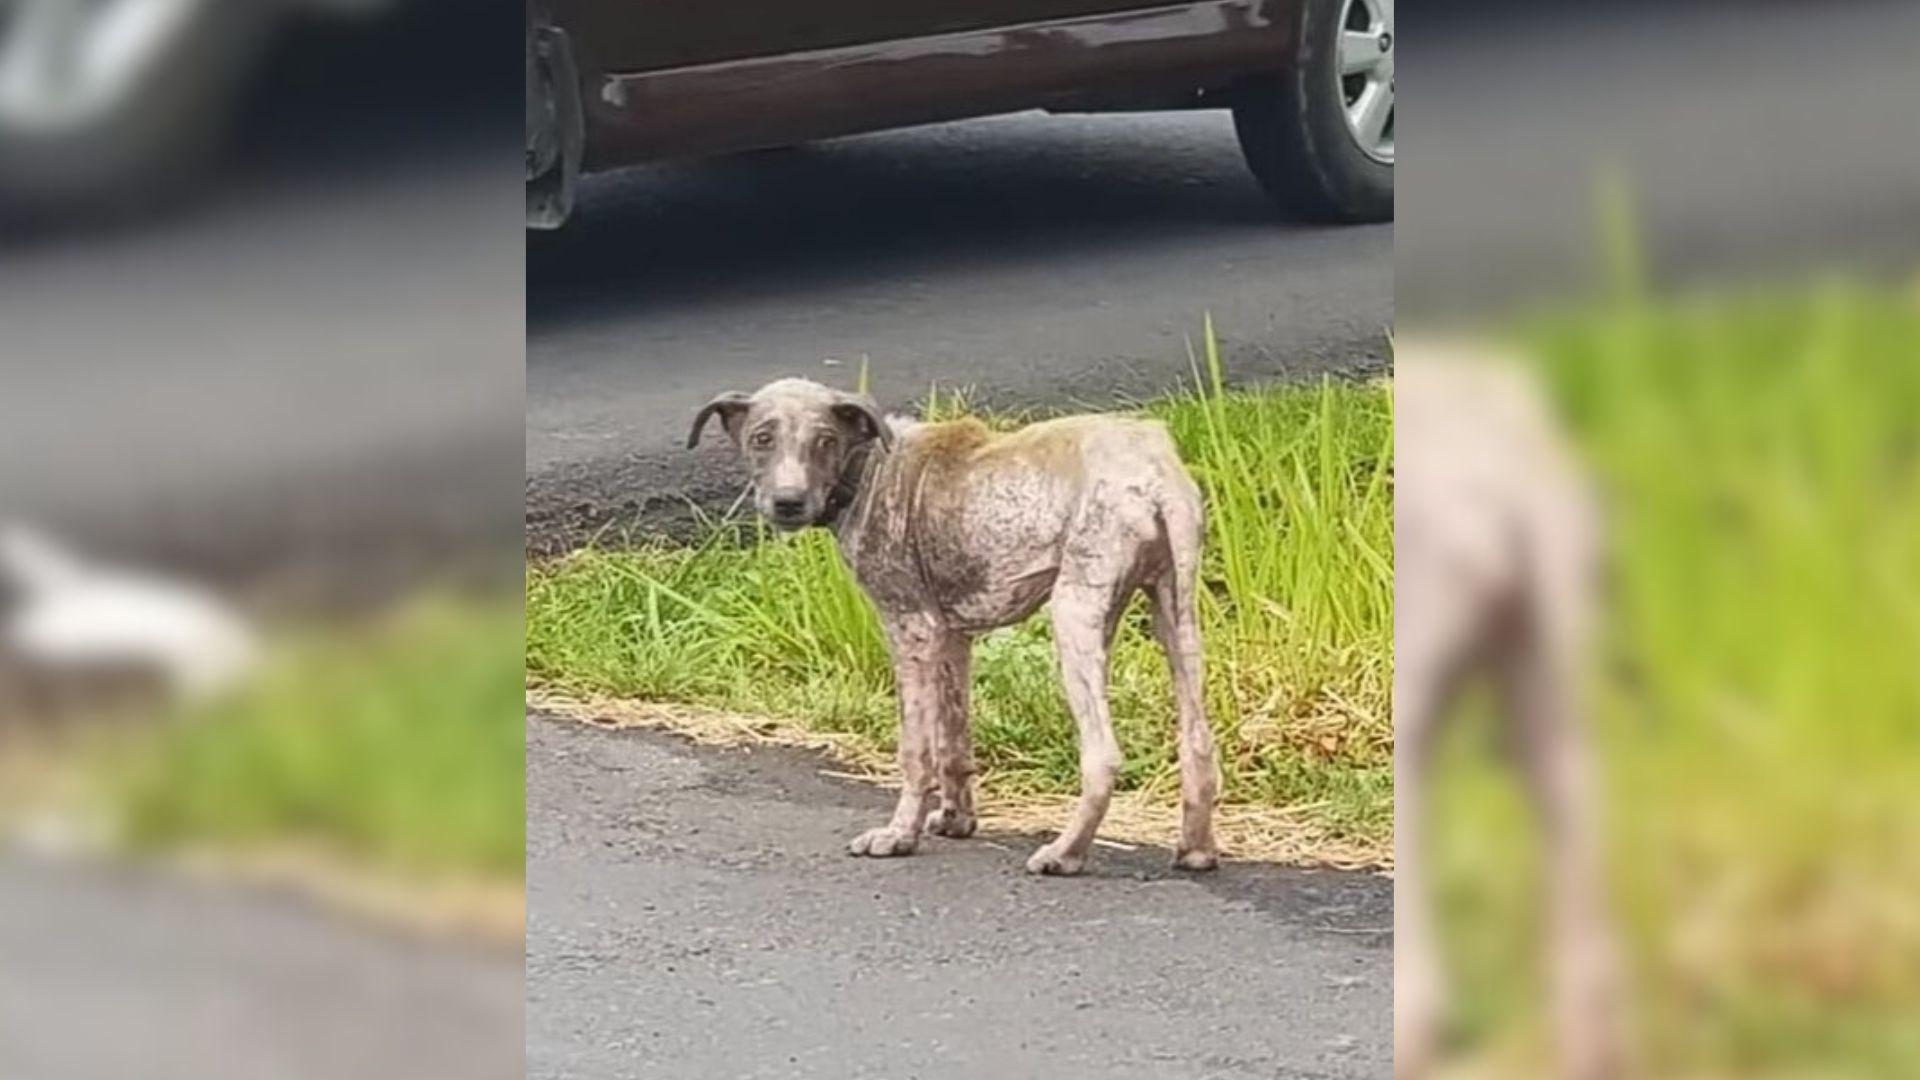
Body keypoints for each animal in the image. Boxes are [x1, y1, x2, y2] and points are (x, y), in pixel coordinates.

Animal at [698, 378, 1221, 876]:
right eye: (762, 438)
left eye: (825, 440)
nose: (787, 503)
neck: (869, 470)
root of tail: (1153, 474)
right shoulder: (952, 637)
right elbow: (952, 737)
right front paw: (955, 820)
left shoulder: (912, 630)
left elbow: (916, 750)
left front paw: (898, 836)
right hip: (1176, 613)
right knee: (1198, 740)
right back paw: (1196, 850)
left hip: (1075, 614)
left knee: (1103, 755)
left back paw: (1065, 853)